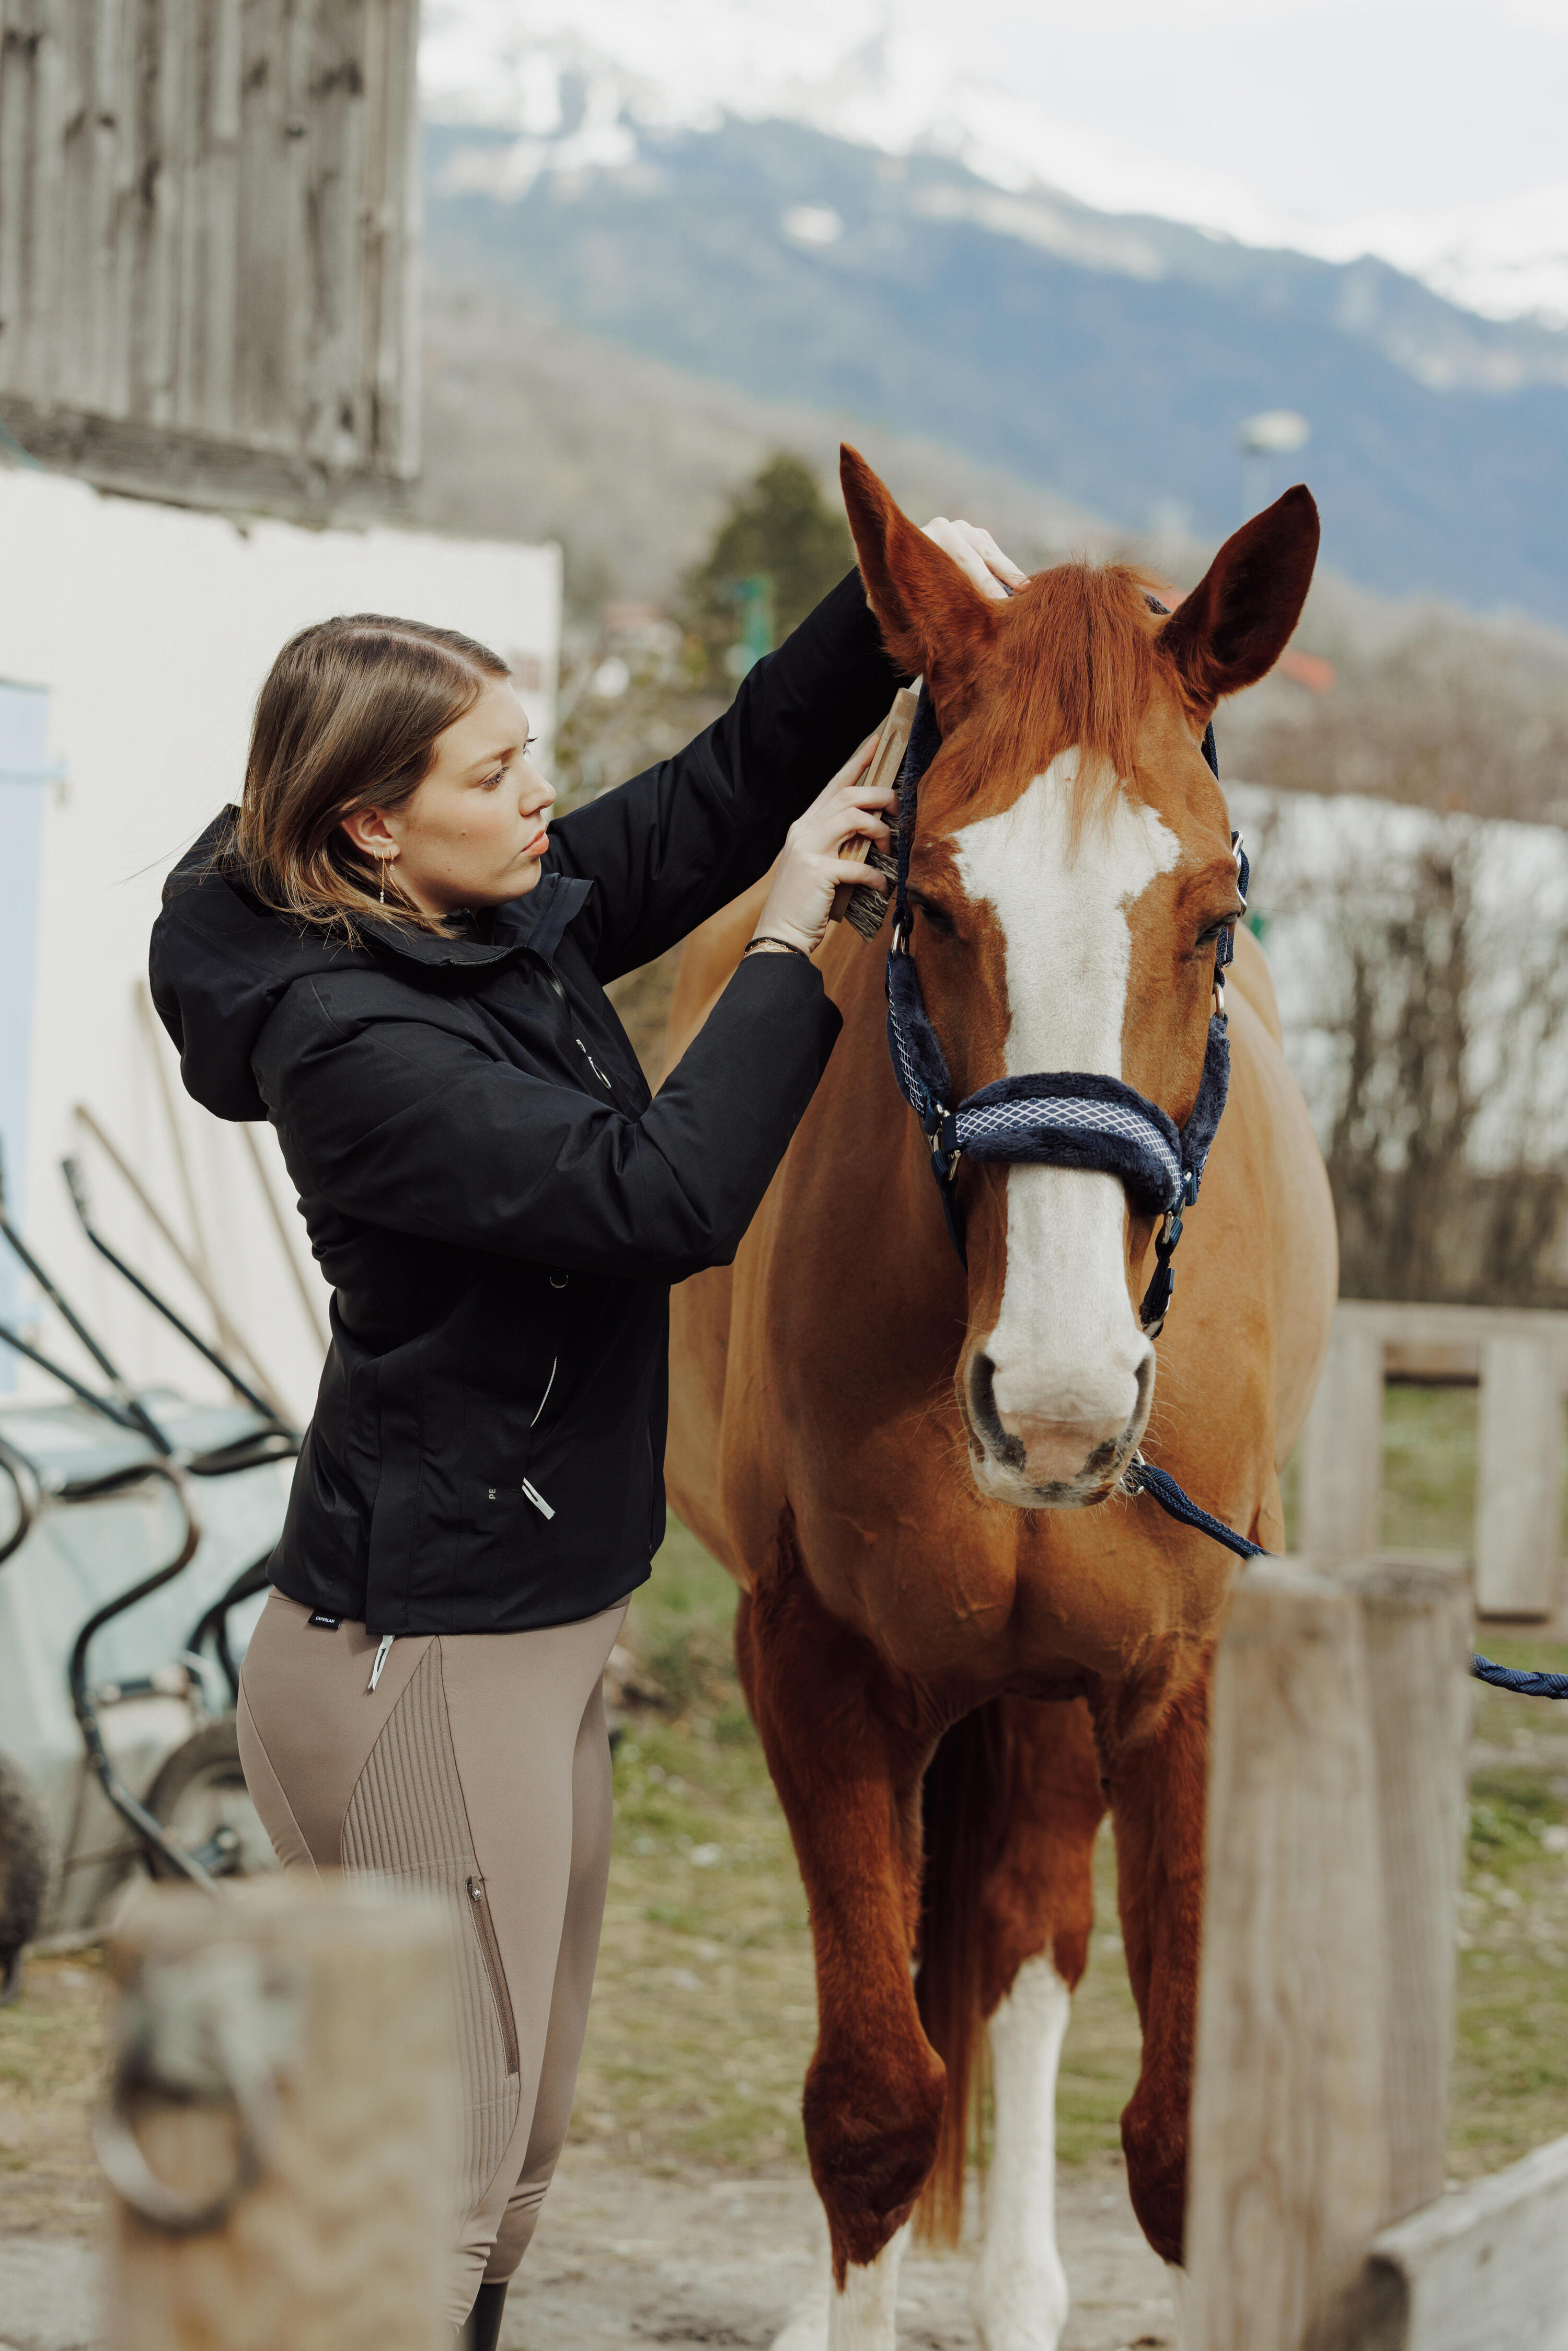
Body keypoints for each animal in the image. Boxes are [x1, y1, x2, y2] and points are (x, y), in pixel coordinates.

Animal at [664, 447, 1337, 2350]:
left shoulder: (1178, 1680)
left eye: (1217, 915)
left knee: (1030, 1941)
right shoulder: (815, 1661)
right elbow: (874, 2109)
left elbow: (1179, 2137)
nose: (1057, 1397)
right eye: (923, 903)